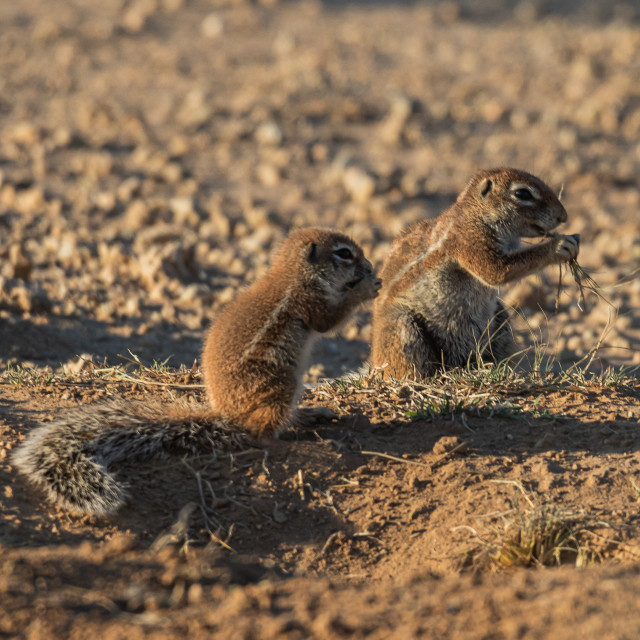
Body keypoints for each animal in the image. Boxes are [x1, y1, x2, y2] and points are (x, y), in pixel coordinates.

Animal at [12, 228, 380, 516]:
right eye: (345, 254)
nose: (371, 267)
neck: (293, 275)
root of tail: (228, 417)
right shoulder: (309, 301)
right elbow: (329, 320)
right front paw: (367, 288)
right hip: (281, 383)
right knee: (262, 434)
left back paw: (310, 414)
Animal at [370, 168, 580, 380]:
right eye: (522, 193)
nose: (563, 216)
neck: (476, 213)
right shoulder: (470, 239)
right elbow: (495, 271)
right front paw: (559, 246)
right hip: (402, 327)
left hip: (501, 319)